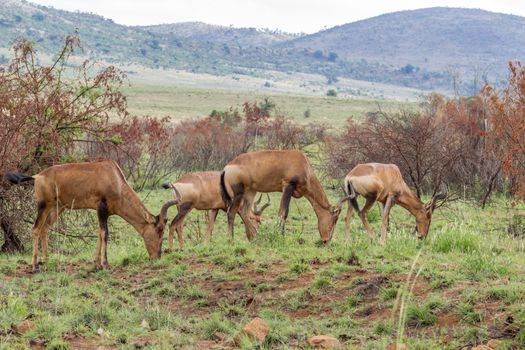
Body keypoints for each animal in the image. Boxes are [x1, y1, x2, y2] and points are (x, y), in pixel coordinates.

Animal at [4, 160, 172, 272]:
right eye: (160, 229)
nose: (156, 257)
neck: (114, 177)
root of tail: (37, 176)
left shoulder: (104, 213)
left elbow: (99, 234)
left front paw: (96, 263)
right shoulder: (101, 208)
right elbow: (105, 233)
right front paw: (105, 264)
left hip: (57, 208)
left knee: (45, 228)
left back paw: (47, 261)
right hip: (44, 206)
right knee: (36, 229)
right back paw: (34, 266)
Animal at [220, 149, 348, 242]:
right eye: (335, 218)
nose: (327, 240)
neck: (303, 162)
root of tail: (228, 166)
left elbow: (281, 212)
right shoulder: (288, 185)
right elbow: (283, 213)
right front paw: (281, 237)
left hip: (251, 191)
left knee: (244, 212)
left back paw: (257, 236)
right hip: (239, 192)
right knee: (232, 211)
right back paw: (231, 240)